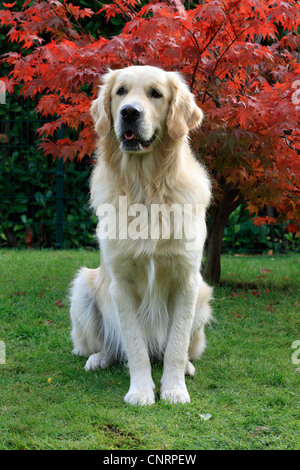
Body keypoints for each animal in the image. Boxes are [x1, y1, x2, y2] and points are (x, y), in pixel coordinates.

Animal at [69, 64, 212, 406]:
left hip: (204, 297)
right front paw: (141, 391)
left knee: (181, 348)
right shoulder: (121, 284)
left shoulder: (187, 281)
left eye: (156, 94)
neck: (145, 187)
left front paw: (174, 389)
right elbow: (134, 347)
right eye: (121, 91)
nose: (129, 112)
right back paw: (98, 358)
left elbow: (175, 345)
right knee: (111, 346)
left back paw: (187, 368)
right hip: (83, 289)